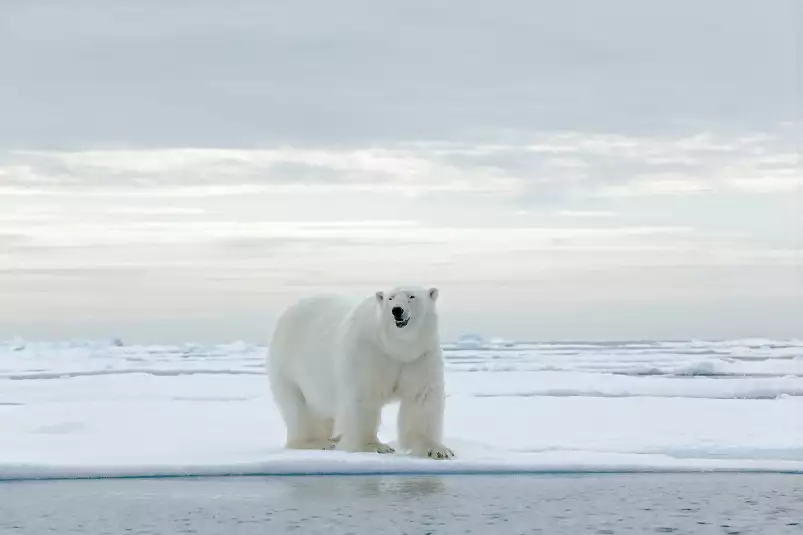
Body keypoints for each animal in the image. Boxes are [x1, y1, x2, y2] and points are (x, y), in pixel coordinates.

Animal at [266, 286, 456, 458]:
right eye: (391, 298)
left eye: (412, 296)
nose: (397, 310)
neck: (395, 347)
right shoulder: (367, 351)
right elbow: (363, 397)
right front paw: (374, 446)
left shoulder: (420, 356)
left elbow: (421, 397)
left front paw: (437, 450)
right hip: (289, 366)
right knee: (299, 407)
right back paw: (316, 442)